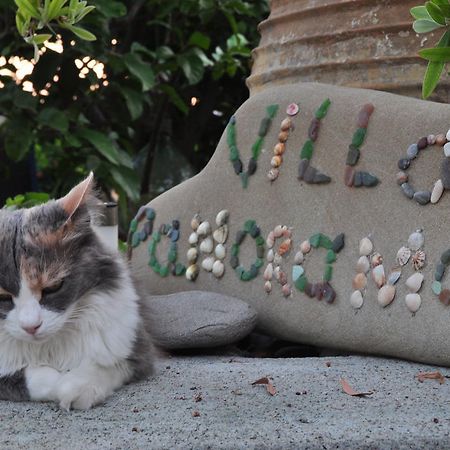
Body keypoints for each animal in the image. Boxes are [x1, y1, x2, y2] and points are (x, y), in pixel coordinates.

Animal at [0, 173, 155, 412]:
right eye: (3, 296)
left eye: (53, 287)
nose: (31, 327)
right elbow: (33, 377)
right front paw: (59, 383)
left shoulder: (138, 352)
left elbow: (102, 366)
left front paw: (77, 387)